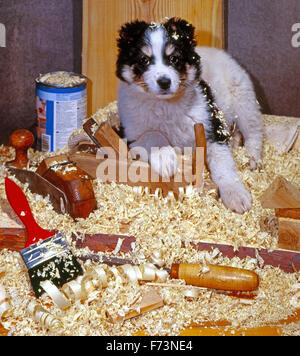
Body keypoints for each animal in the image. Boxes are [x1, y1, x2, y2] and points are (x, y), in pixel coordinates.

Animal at [115, 17, 262, 214]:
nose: (164, 82)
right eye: (144, 60)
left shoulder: (210, 126)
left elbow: (224, 165)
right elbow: (153, 134)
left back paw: (253, 159)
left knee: (254, 132)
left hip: (244, 100)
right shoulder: (132, 133)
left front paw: (235, 194)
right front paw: (165, 158)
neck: (166, 105)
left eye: (174, 58)